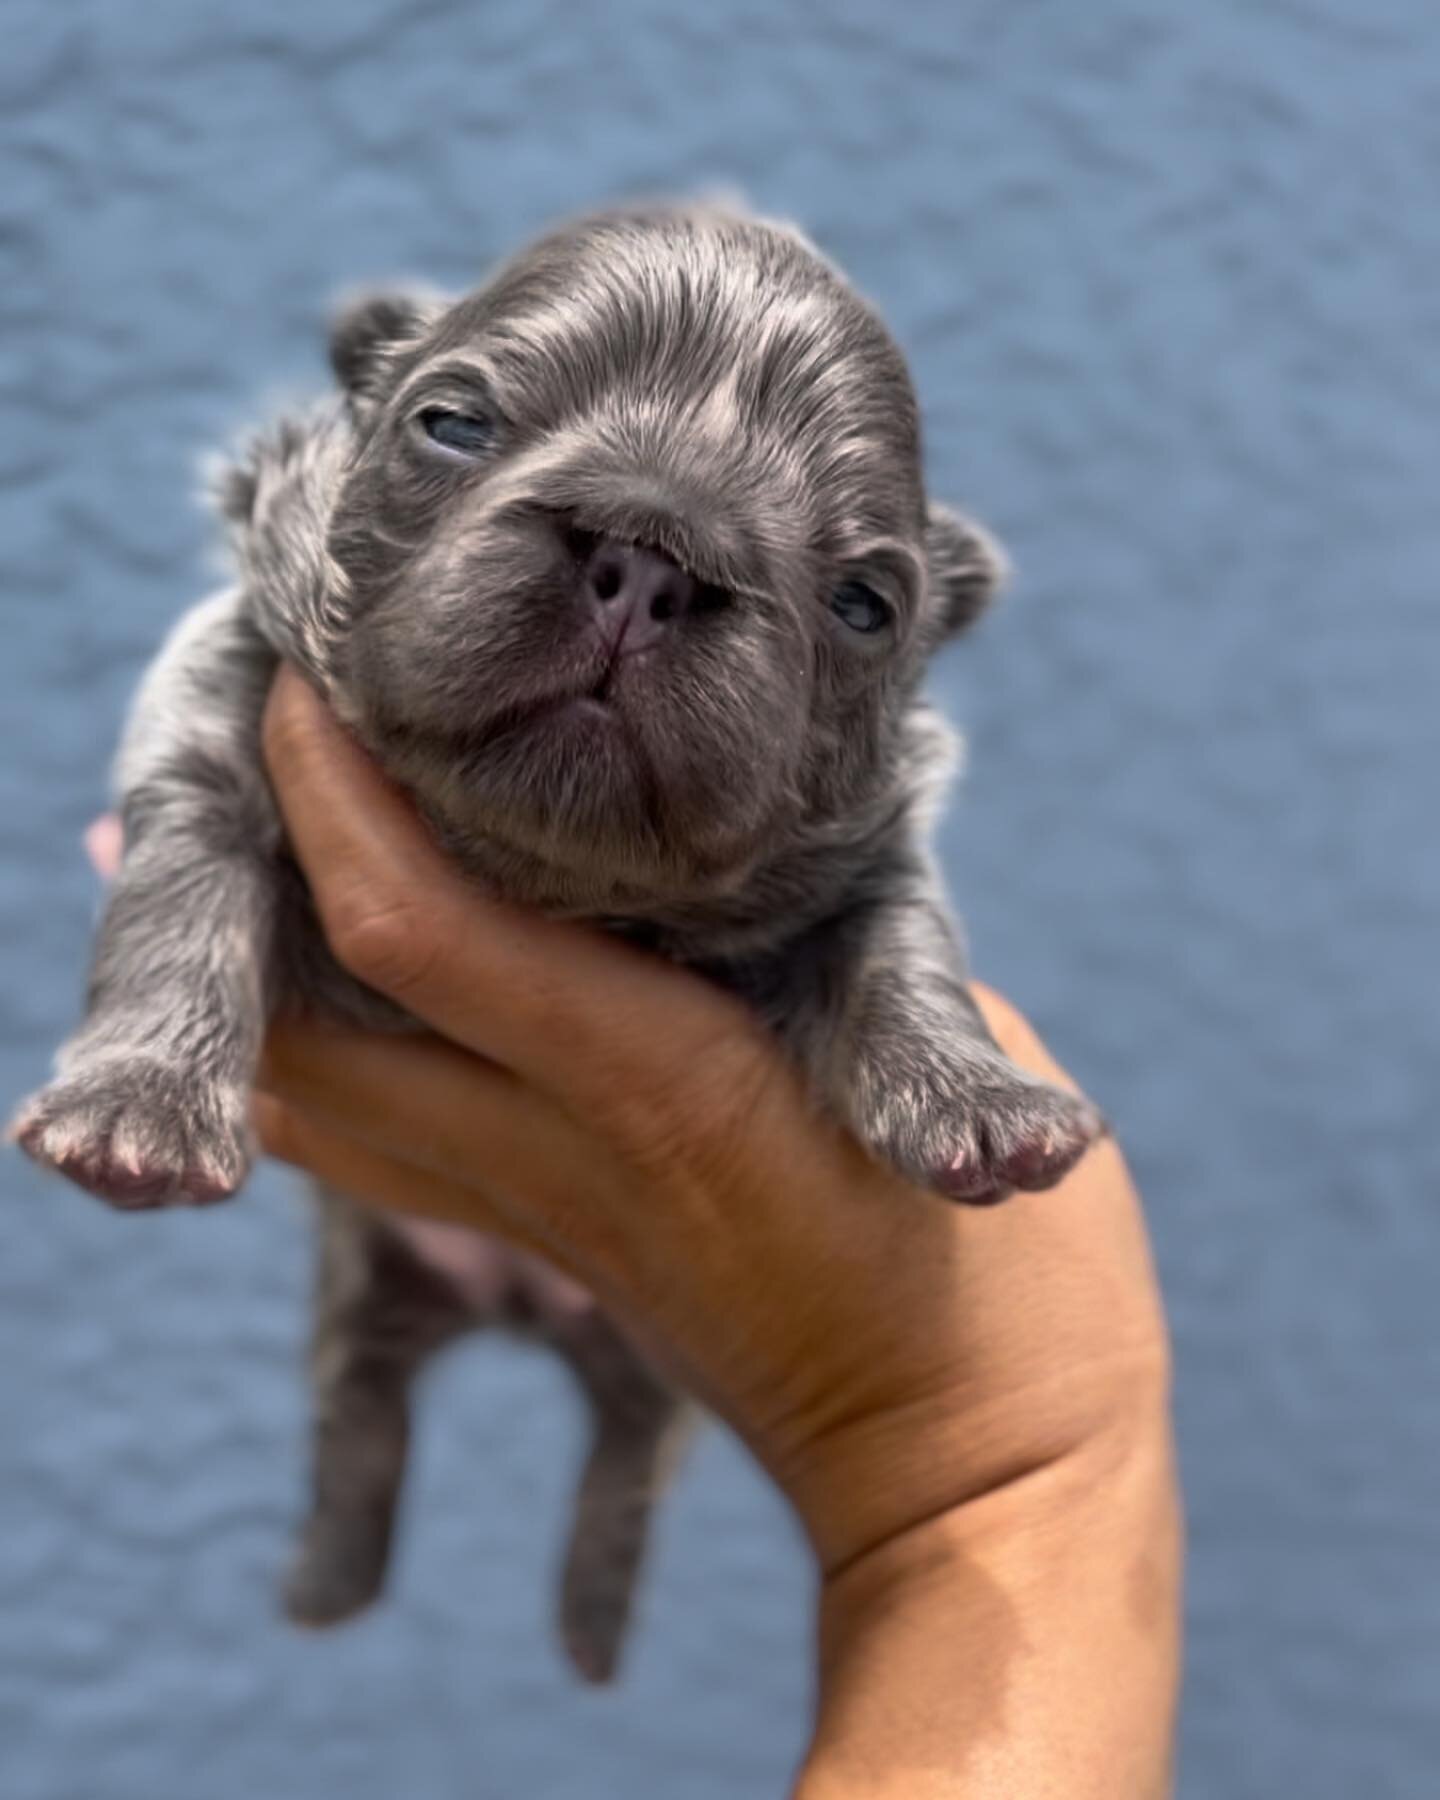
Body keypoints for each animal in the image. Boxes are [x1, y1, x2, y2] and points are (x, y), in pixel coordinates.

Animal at [11, 204, 1101, 1677]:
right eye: (453, 425)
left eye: (866, 603)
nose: (650, 556)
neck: (534, 873)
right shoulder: (213, 722)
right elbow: (183, 899)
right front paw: (138, 1104)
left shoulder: (873, 865)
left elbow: (903, 958)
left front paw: (982, 1099)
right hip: (373, 1288)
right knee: (364, 1411)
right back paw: (329, 1591)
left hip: (649, 1373)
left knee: (622, 1467)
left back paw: (589, 1632)